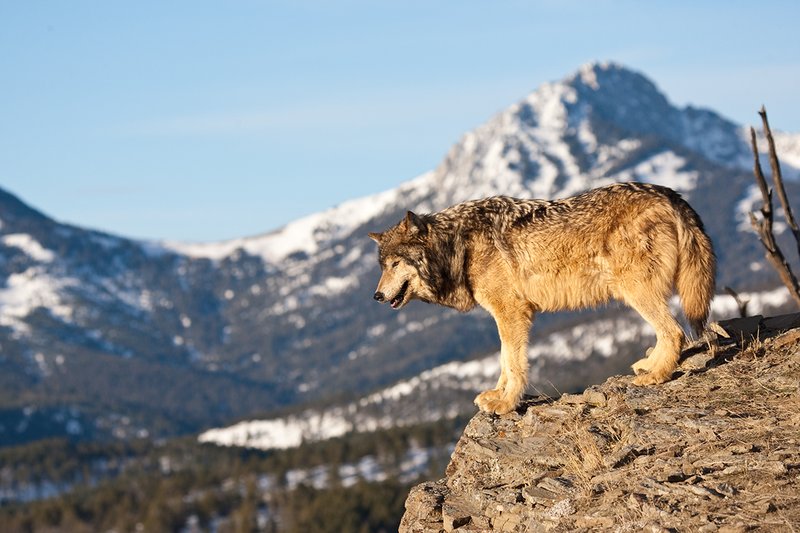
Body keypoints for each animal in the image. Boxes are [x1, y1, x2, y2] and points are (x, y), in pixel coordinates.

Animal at [368, 182, 716, 415]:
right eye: (382, 266)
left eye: (395, 264)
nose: (376, 295)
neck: (458, 246)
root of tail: (667, 193)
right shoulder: (505, 315)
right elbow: (503, 361)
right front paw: (497, 395)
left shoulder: (511, 312)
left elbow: (513, 363)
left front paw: (507, 403)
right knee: (668, 332)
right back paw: (649, 366)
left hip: (635, 290)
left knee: (675, 332)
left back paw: (657, 375)